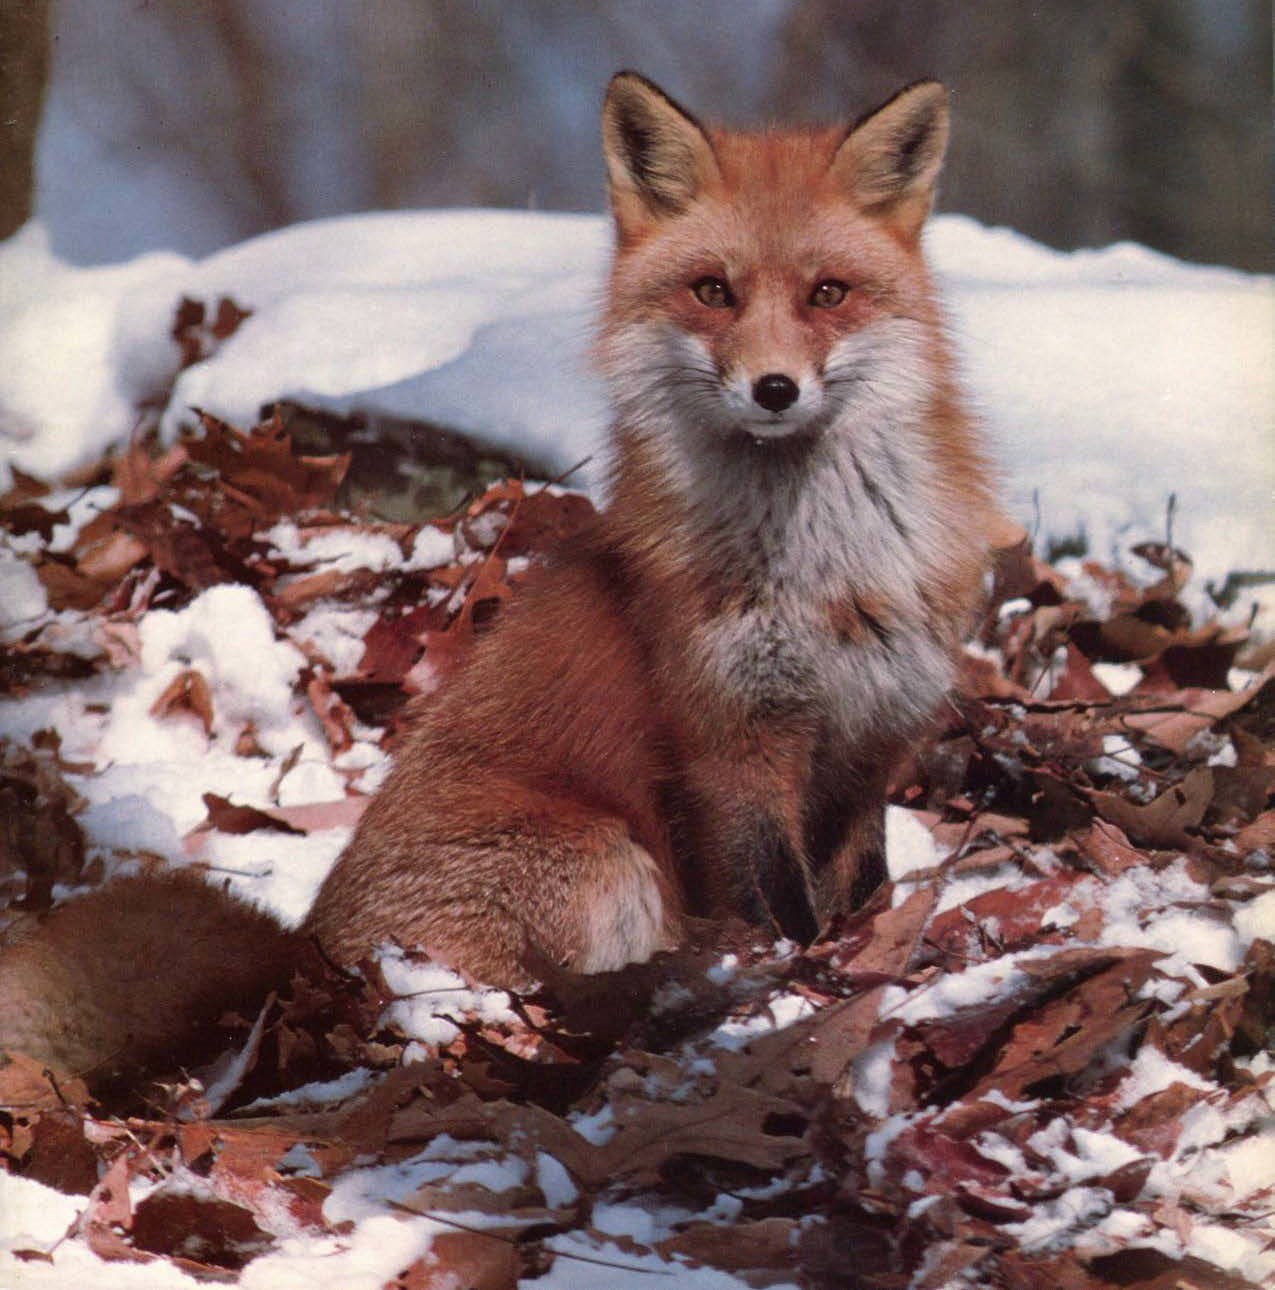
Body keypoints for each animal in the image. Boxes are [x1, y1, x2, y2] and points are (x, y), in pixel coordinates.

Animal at [0, 68, 996, 1078]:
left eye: (827, 293)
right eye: (713, 291)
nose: (775, 389)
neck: (827, 572)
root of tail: (308, 954)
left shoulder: (875, 735)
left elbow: (864, 889)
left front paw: (866, 949)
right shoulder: (732, 745)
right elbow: (778, 908)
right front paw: (802, 981)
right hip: (601, 853)